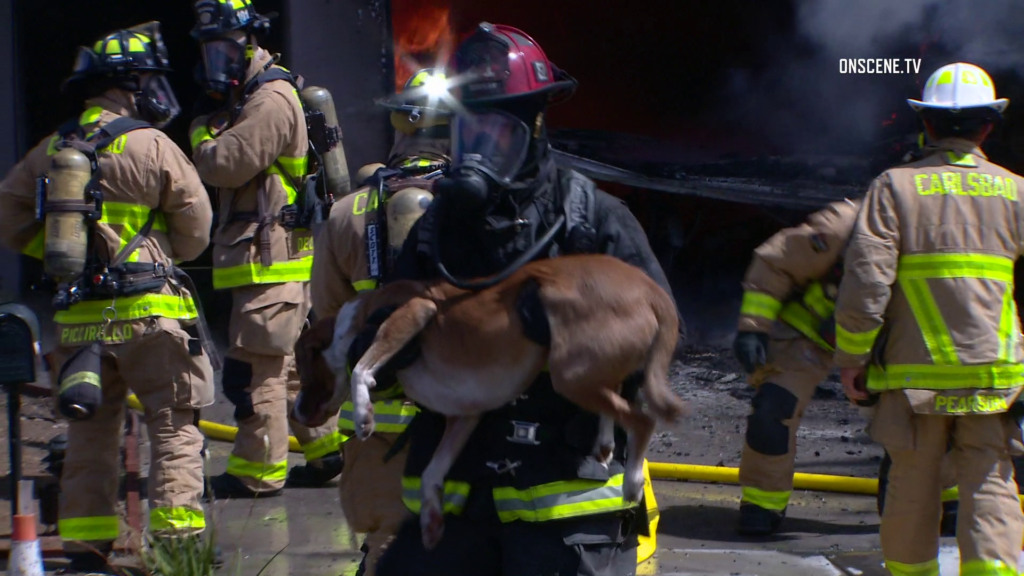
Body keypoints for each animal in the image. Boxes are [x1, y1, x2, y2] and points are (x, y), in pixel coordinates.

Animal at [290, 254, 688, 545]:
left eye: (303, 370)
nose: (294, 411)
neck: (357, 320)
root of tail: (652, 290)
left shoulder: (415, 311)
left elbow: (361, 368)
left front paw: (363, 415)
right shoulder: (465, 416)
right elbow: (432, 472)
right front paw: (431, 520)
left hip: (571, 375)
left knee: (642, 420)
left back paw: (633, 480)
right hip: (586, 373)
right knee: (618, 398)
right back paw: (605, 443)